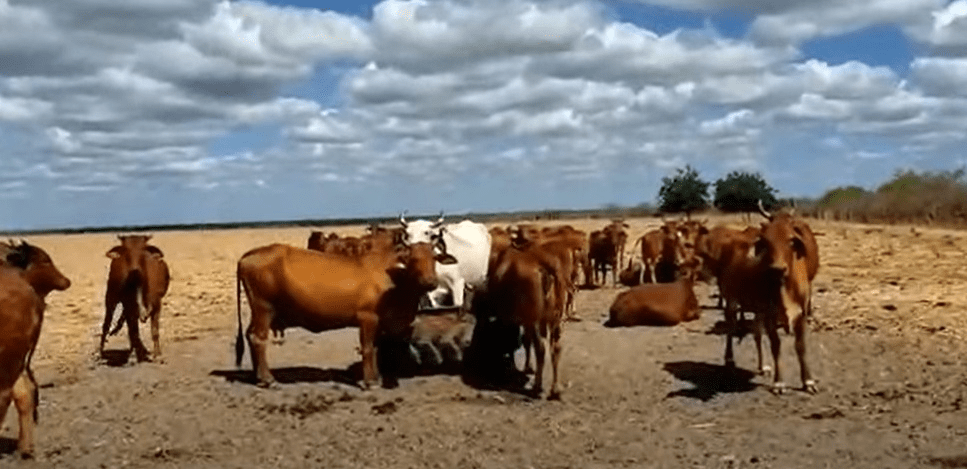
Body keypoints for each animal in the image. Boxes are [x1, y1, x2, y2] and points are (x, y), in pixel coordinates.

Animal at [103, 234, 171, 362]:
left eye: (143, 250)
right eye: (125, 250)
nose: (135, 269)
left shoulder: (157, 305)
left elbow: (154, 331)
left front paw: (157, 354)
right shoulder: (129, 307)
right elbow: (133, 331)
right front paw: (137, 353)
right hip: (111, 298)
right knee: (107, 323)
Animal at [237, 238, 458, 388]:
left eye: (435, 258)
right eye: (412, 258)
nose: (430, 282)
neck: (395, 279)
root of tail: (249, 255)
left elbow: (374, 348)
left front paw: (375, 376)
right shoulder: (367, 318)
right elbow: (367, 348)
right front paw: (369, 382)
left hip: (258, 311)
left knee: (250, 335)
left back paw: (257, 377)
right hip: (264, 308)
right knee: (258, 339)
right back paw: (268, 379)